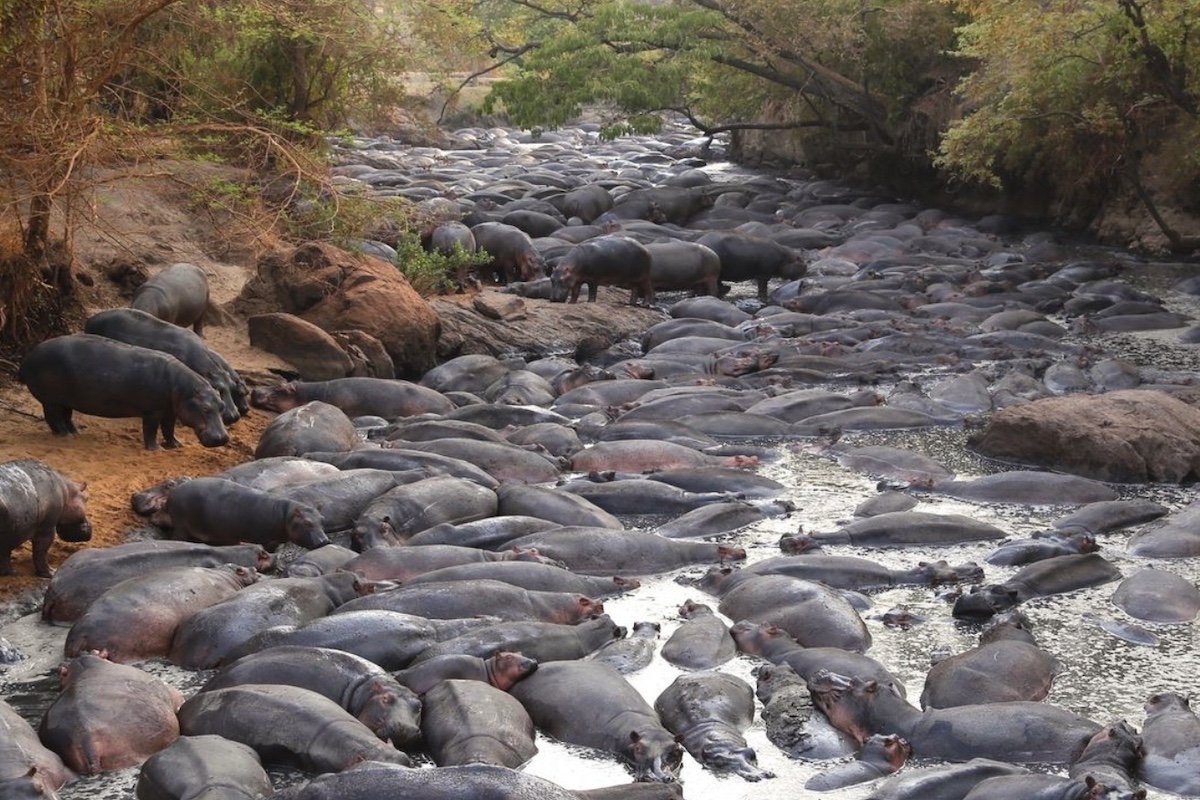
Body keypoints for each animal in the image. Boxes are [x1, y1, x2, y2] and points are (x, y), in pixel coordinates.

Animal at [18, 334, 229, 450]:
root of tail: (28, 356)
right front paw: (156, 449)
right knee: (53, 418)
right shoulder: (152, 411)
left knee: (66, 416)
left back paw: (75, 432)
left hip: (66, 400)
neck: (182, 387)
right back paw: (65, 436)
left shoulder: (170, 410)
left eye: (221, 406)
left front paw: (176, 445)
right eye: (206, 408)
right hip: (51, 400)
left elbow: (169, 429)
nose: (223, 438)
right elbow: (151, 430)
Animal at [164, 477, 329, 550]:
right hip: (181, 526)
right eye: (307, 522)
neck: (286, 514)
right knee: (176, 537)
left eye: (322, 519)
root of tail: (172, 493)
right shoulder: (269, 540)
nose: (325, 540)